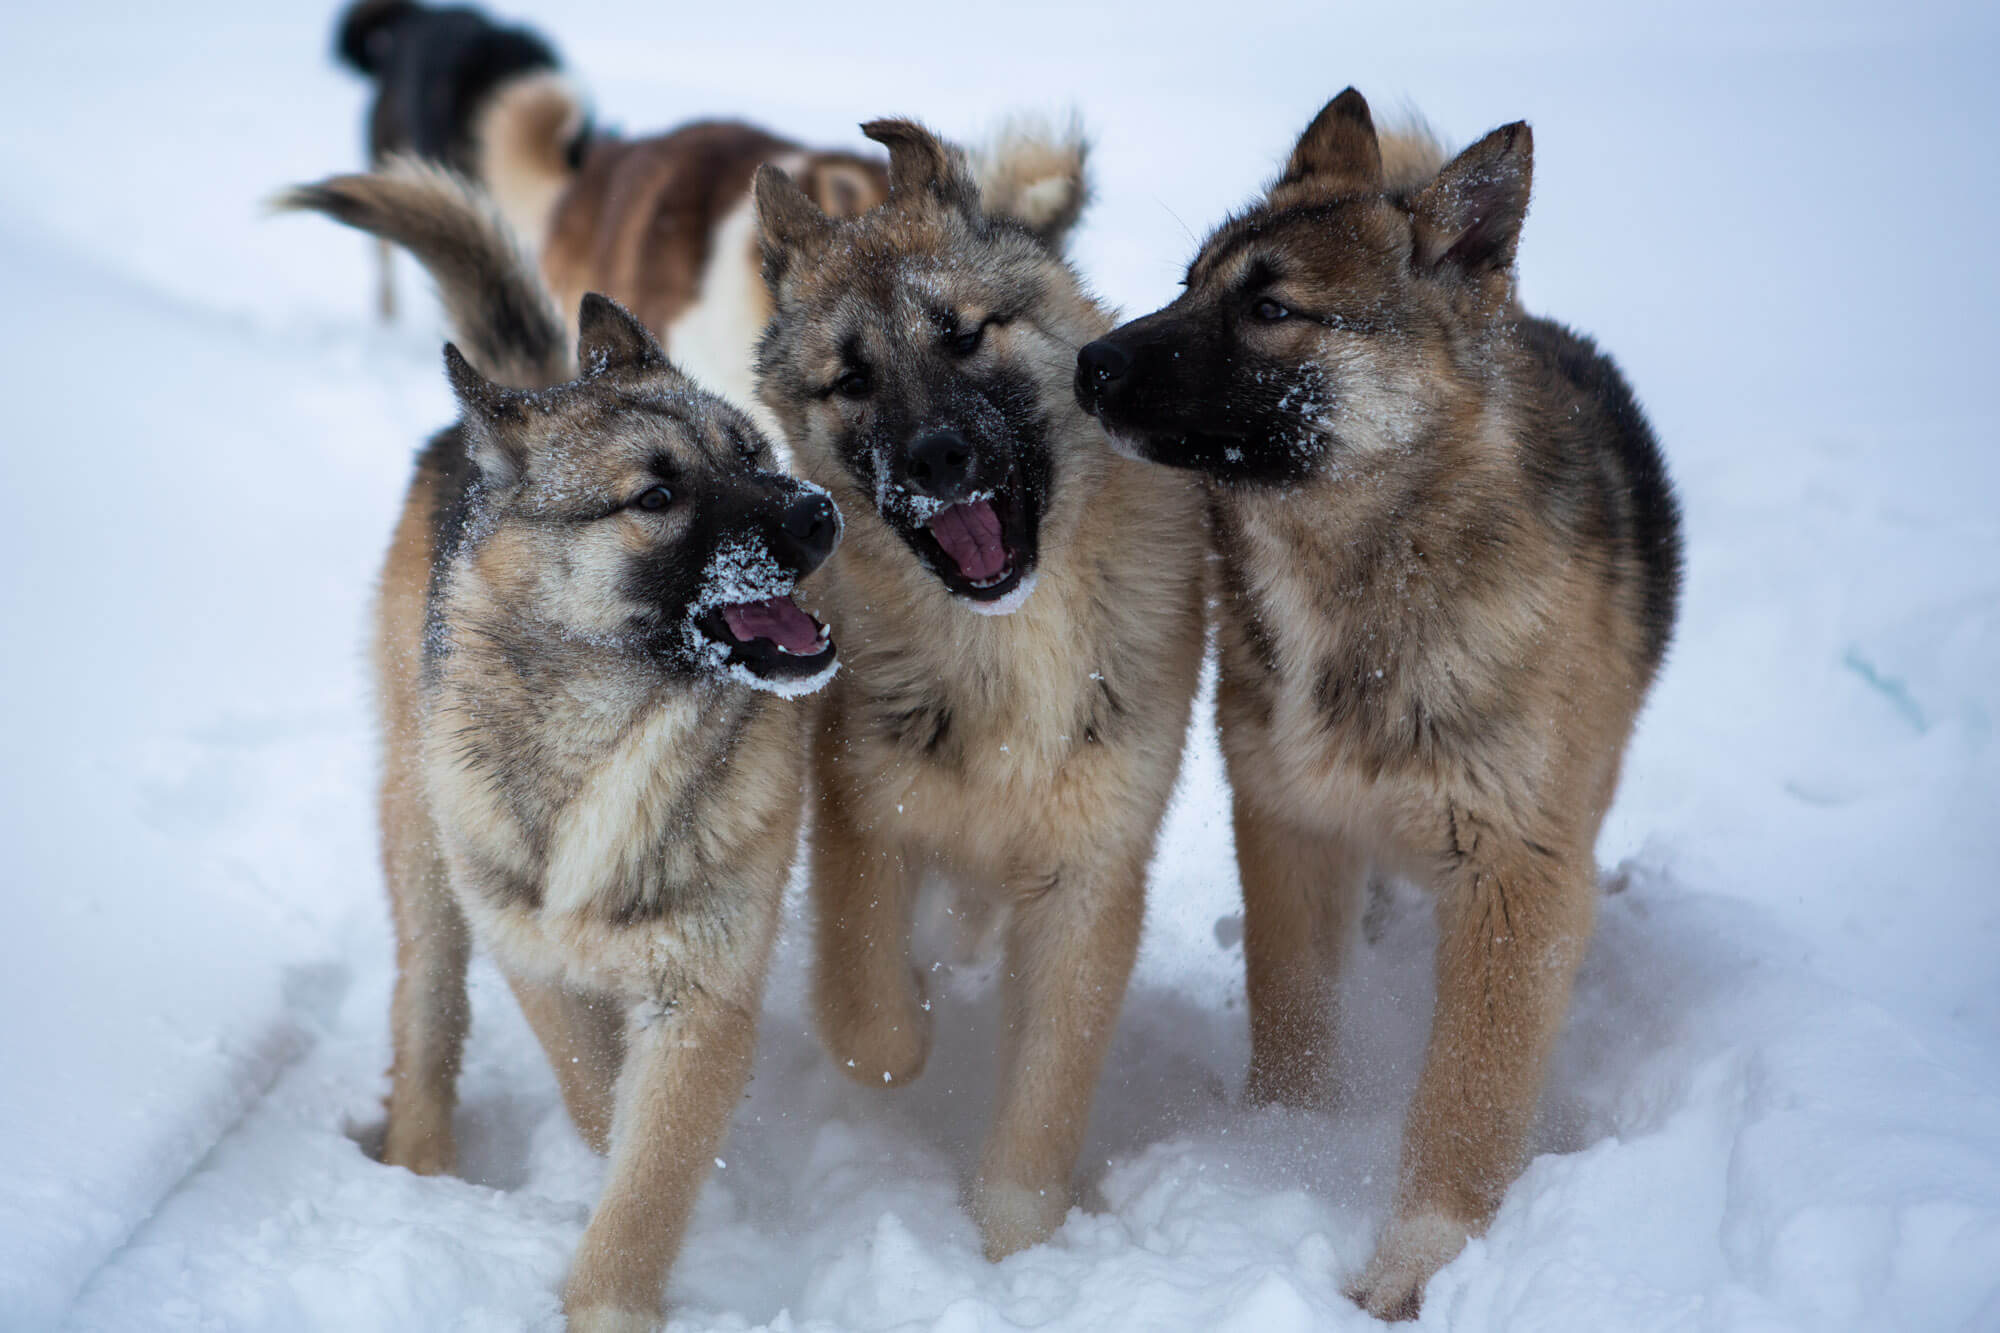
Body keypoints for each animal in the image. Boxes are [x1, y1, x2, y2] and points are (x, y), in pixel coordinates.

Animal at [276, 161, 836, 1320]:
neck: (619, 741)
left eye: (752, 451)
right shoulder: (536, 956)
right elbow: (595, 1097)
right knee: (427, 1014)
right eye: (657, 494)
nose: (821, 513)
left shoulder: (700, 993)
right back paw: (424, 1162)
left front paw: (612, 1292)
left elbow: (647, 1172)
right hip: (426, 857)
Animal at [752, 122, 1200, 1256]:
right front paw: (910, 1019)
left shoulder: (1089, 875)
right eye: (850, 379)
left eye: (962, 335)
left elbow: (1044, 1097)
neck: (1009, 648)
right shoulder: (866, 818)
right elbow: (868, 1021)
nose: (936, 458)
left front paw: (1013, 1249)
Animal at [1072, 88, 1680, 1312]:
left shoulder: (1517, 881)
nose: (1086, 362)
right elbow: (1294, 1018)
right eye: (1188, 279)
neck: (1364, 589)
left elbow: (1465, 1097)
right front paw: (1280, 1151)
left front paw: (1415, 1264)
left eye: (1270, 307)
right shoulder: (1288, 825)